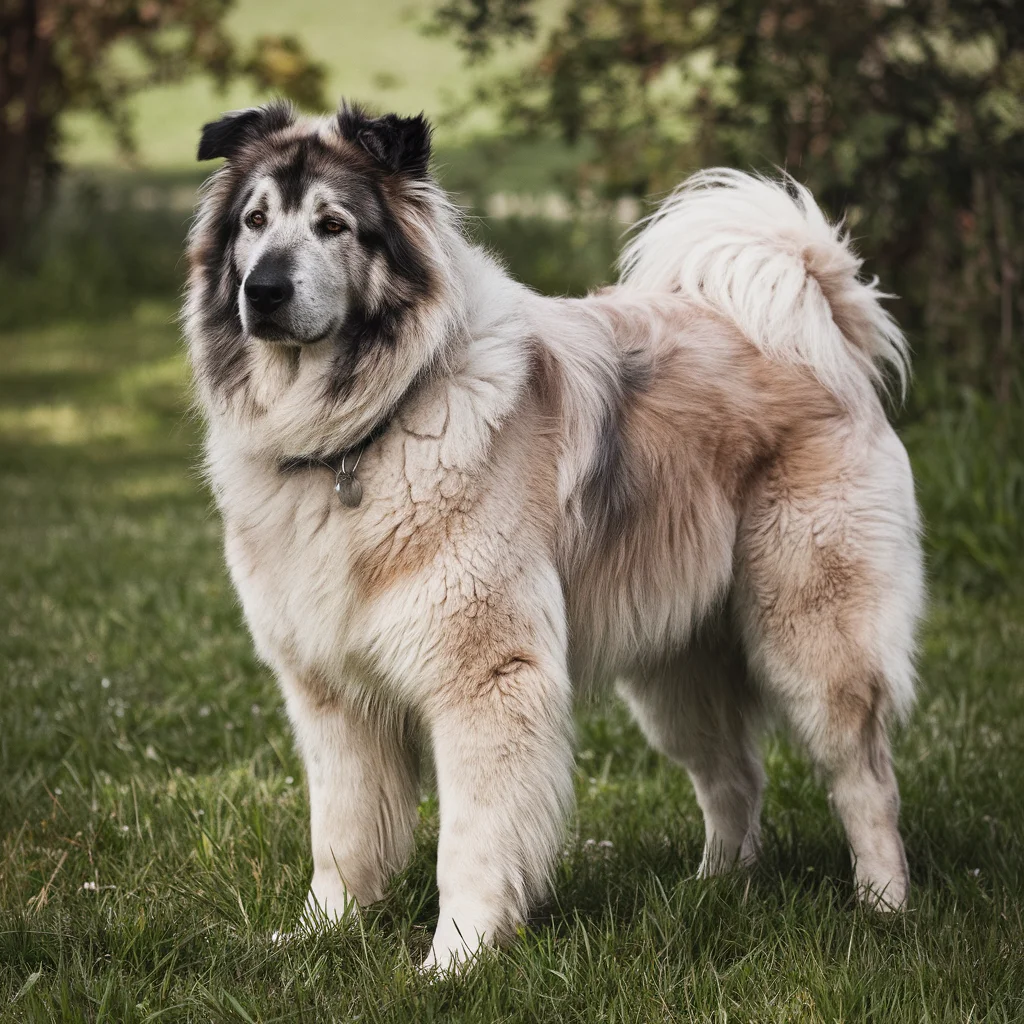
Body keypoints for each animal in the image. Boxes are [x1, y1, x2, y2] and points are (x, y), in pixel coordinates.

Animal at [186, 99, 929, 970]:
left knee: (864, 777)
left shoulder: (487, 680)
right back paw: (713, 895)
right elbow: (341, 833)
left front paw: (456, 959)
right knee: (734, 776)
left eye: (333, 225)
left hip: (813, 638)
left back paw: (883, 907)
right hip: (679, 670)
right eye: (254, 221)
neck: (362, 431)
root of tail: (823, 327)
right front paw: (319, 933)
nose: (263, 289)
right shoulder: (331, 695)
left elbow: (472, 840)